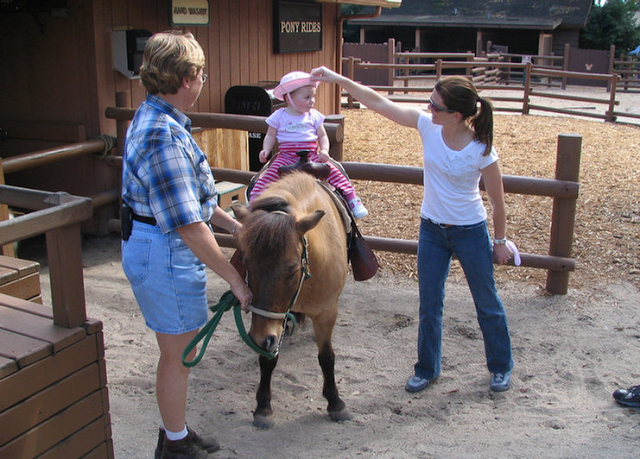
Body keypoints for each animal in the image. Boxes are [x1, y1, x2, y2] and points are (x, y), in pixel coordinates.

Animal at [232, 171, 350, 430]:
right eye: (246, 262)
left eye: (293, 268)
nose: (259, 338)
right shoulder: (271, 323)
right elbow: (268, 358)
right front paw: (263, 407)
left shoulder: (327, 313)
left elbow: (327, 357)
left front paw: (335, 403)